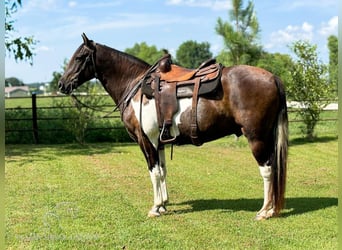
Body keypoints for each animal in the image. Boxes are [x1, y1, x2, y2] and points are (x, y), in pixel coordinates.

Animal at [58, 33, 288, 221]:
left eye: (79, 57)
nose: (62, 84)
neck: (135, 87)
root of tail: (273, 78)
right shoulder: (158, 141)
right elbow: (163, 171)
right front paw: (164, 204)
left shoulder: (146, 140)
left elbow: (154, 172)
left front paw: (155, 207)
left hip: (256, 137)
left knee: (267, 170)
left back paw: (265, 211)